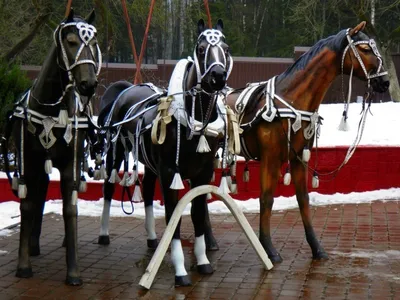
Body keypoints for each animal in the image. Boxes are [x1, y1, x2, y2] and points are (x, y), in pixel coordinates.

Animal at [2, 8, 101, 286]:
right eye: (71, 41)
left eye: (94, 43)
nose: (89, 84)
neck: (50, 109)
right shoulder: (28, 162)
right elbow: (27, 205)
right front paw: (23, 264)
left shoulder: (70, 164)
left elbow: (70, 208)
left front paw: (73, 271)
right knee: (40, 193)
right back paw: (34, 244)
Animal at [97, 18, 234, 286]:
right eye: (201, 48)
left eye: (225, 47)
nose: (218, 76)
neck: (191, 122)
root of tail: (126, 89)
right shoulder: (171, 173)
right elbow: (174, 219)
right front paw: (180, 270)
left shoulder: (202, 174)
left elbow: (197, 214)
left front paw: (202, 261)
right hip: (116, 154)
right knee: (109, 187)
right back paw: (104, 233)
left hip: (151, 165)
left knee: (148, 191)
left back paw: (152, 238)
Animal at [225, 21, 390, 262]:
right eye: (366, 49)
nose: (385, 82)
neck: (290, 100)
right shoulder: (270, 158)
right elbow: (266, 199)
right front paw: (268, 249)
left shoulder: (298, 158)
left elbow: (303, 199)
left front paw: (316, 248)